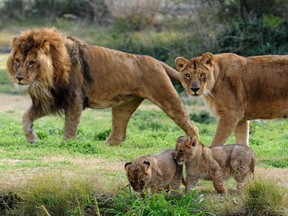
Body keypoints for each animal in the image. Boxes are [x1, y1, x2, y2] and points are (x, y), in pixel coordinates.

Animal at [6, 27, 198, 145]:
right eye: (17, 61)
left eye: (31, 63)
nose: (19, 78)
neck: (46, 78)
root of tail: (157, 61)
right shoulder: (51, 99)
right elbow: (26, 117)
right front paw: (31, 138)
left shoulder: (75, 99)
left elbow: (70, 125)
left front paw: (67, 144)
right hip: (123, 107)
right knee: (119, 135)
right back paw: (103, 145)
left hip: (167, 97)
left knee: (191, 124)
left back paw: (192, 144)